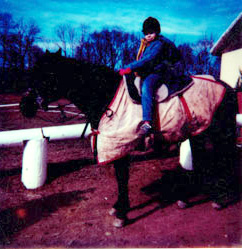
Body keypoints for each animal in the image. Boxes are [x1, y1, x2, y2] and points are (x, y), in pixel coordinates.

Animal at [19, 49, 239, 228]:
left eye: (46, 74)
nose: (25, 106)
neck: (106, 95)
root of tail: (226, 86)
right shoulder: (116, 146)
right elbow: (119, 178)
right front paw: (118, 207)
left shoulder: (121, 145)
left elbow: (122, 177)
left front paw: (122, 214)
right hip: (198, 131)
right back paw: (186, 198)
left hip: (220, 132)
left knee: (225, 159)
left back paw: (220, 199)